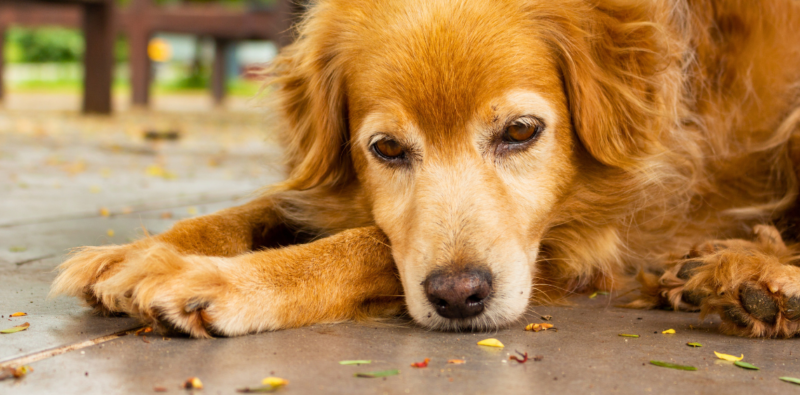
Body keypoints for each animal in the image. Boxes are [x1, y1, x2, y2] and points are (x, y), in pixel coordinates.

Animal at [51, 0, 800, 340]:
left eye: (521, 131)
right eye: (385, 149)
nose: (459, 297)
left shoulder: (594, 235)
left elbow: (368, 245)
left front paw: (217, 280)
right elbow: (269, 206)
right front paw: (140, 251)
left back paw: (757, 278)